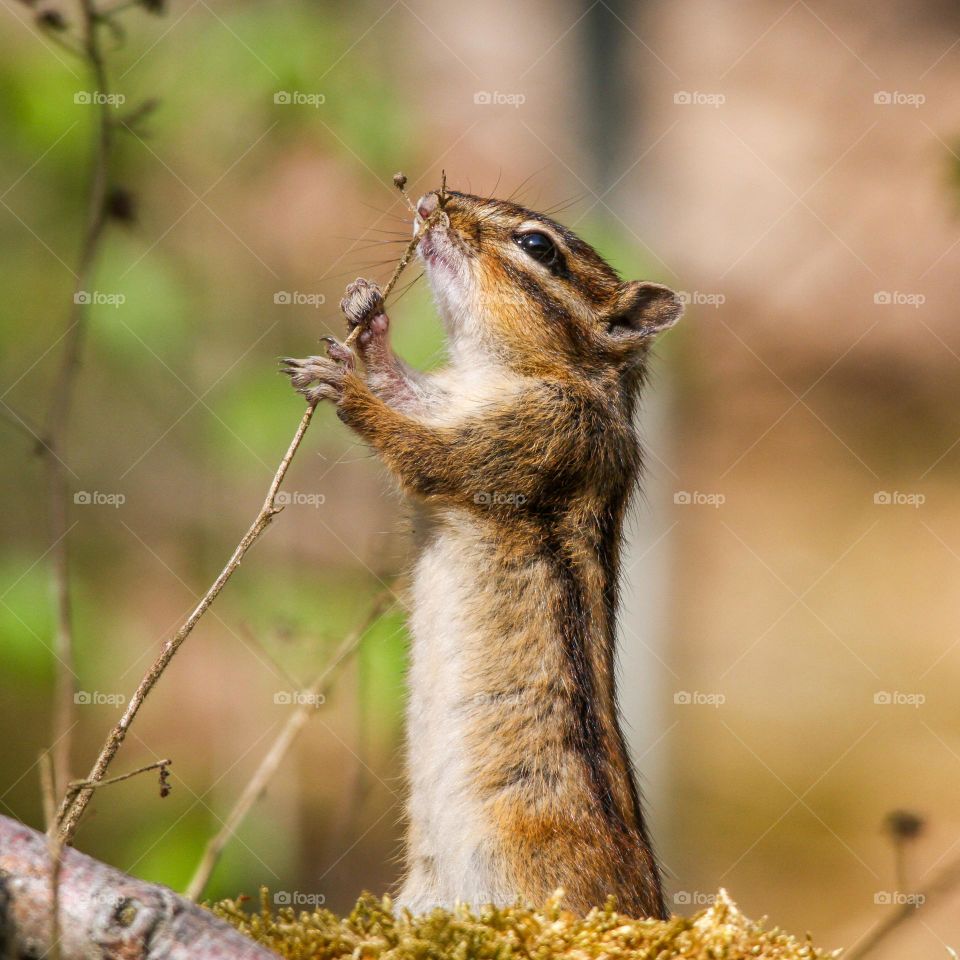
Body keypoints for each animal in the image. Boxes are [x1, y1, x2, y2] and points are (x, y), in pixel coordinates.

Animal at [282, 187, 682, 919]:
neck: (498, 373)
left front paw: (346, 386)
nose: (430, 201)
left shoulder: (539, 436)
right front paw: (367, 324)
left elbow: (422, 455)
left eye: (538, 246)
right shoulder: (445, 399)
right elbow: (408, 395)